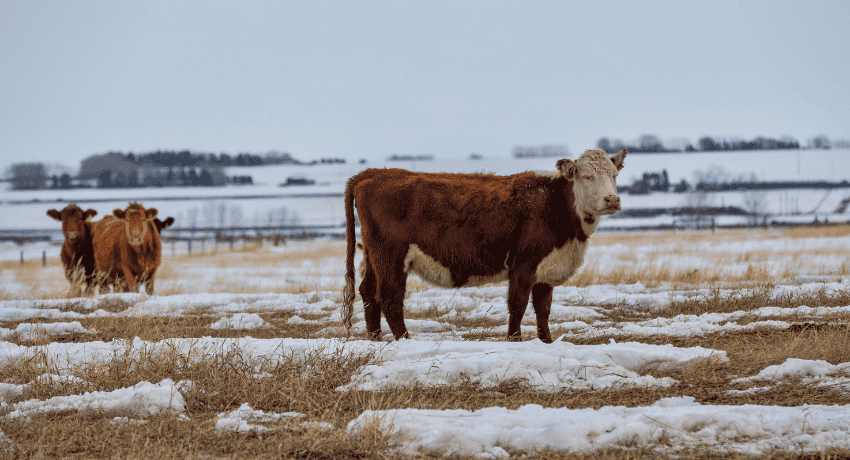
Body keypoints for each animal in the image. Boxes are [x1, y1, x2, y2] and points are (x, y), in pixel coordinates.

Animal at [342, 148, 627, 343]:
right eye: (587, 176)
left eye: (614, 175)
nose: (612, 199)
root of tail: (374, 174)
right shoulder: (523, 264)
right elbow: (518, 305)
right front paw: (515, 339)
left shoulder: (548, 267)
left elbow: (543, 309)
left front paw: (546, 341)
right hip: (391, 256)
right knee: (389, 296)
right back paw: (404, 340)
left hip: (373, 256)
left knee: (368, 292)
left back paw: (375, 338)